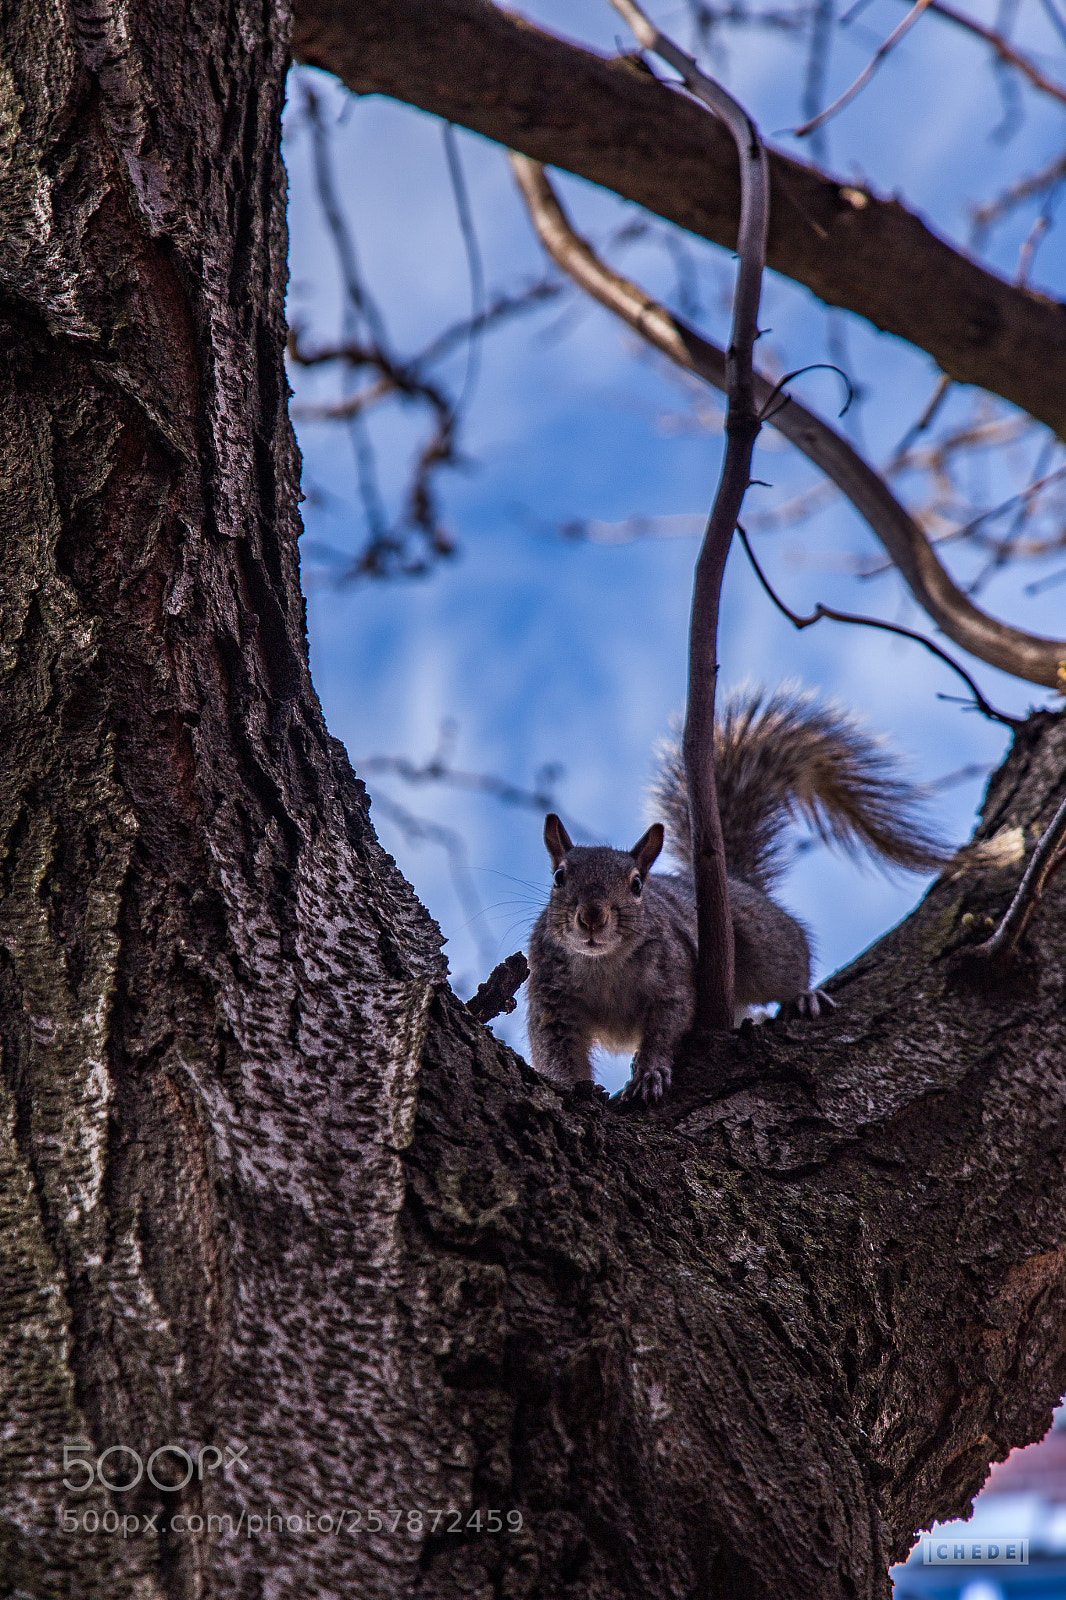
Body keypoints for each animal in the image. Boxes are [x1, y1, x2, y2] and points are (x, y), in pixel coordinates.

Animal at [526, 685, 947, 1103]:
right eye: (559, 877)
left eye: (636, 885)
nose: (592, 916)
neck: (602, 962)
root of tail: (733, 882)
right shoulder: (551, 999)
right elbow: (553, 1048)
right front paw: (574, 1087)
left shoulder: (673, 979)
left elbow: (666, 1025)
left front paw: (649, 1073)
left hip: (764, 943)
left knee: (790, 963)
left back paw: (803, 997)